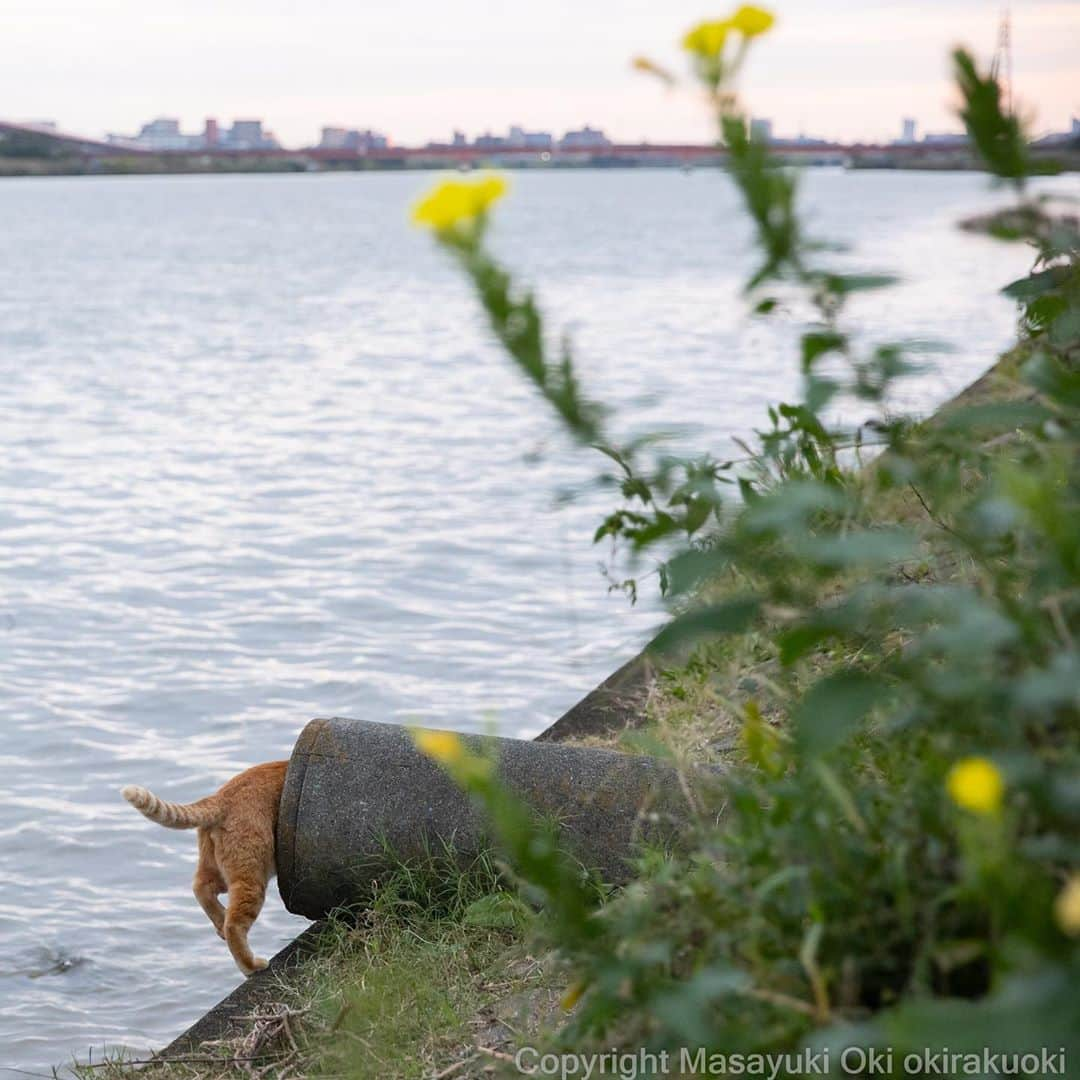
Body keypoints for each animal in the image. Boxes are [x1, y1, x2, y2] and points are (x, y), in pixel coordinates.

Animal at [121, 760, 287, 980]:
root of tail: (220, 797)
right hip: (252, 875)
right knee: (234, 924)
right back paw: (251, 965)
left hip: (218, 867)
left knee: (200, 887)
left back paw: (220, 920)